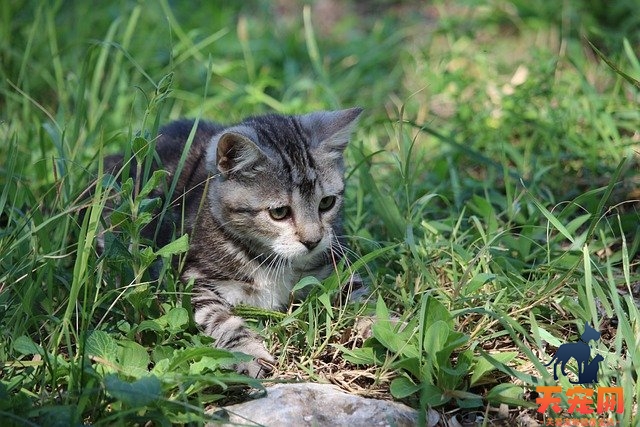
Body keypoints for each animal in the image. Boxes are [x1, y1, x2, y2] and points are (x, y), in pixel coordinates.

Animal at [105, 107, 364, 378]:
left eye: (327, 203)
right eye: (279, 212)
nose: (313, 241)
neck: (272, 259)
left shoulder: (336, 266)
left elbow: (358, 297)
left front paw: (375, 324)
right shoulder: (191, 282)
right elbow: (220, 320)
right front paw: (248, 353)